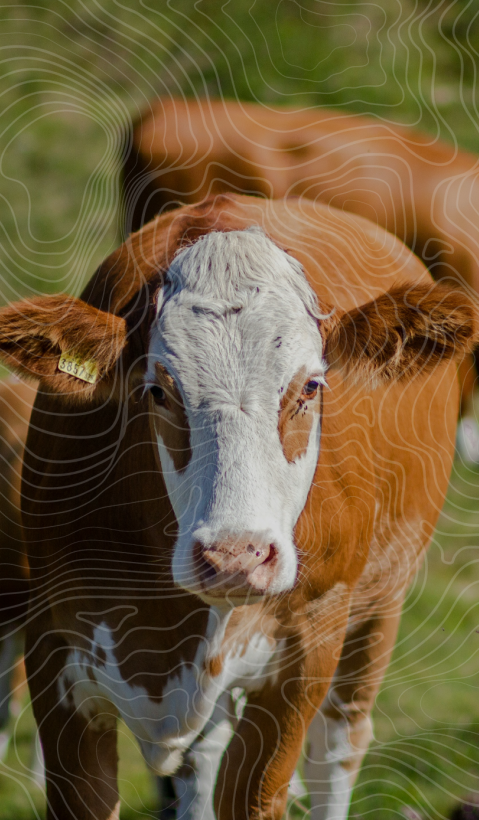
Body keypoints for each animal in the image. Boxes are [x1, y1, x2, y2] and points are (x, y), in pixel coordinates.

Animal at [0, 194, 476, 820]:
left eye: (310, 388)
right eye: (158, 391)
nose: (235, 557)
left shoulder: (306, 652)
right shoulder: (54, 646)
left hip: (378, 606)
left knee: (336, 751)